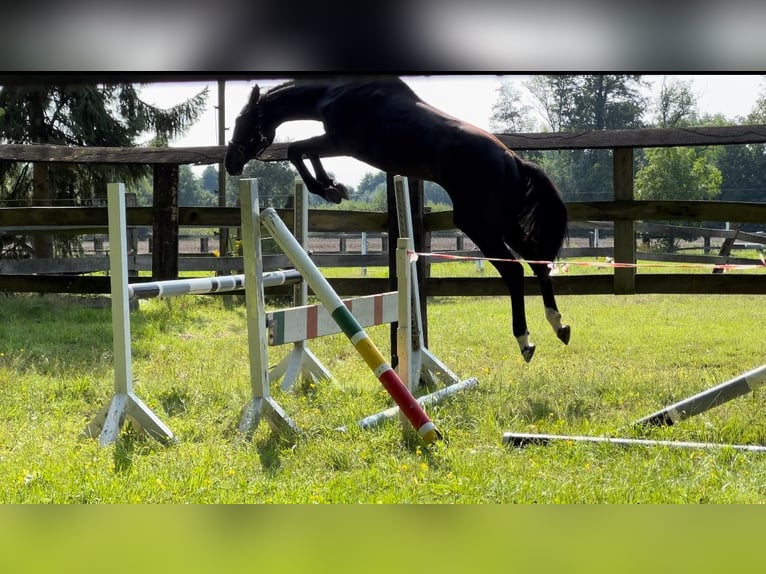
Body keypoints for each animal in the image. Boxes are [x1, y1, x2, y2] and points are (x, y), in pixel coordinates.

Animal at [225, 78, 572, 362]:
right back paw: (559, 326)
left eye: (241, 120)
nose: (230, 163)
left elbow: (297, 150)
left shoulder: (339, 142)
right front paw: (334, 187)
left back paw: (525, 341)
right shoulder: (335, 143)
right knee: (537, 263)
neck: (334, 93)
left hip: (479, 225)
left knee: (514, 271)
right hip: (504, 225)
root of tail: (512, 159)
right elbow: (304, 152)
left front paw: (329, 189)